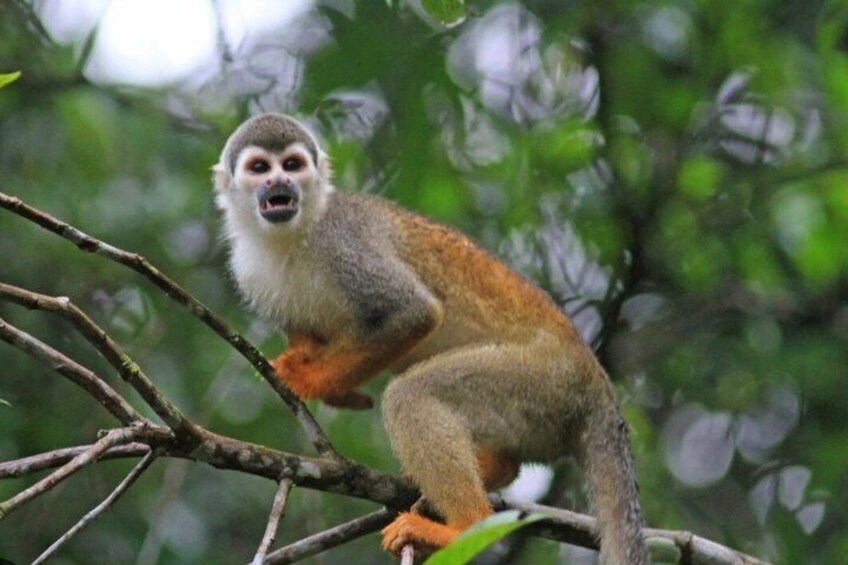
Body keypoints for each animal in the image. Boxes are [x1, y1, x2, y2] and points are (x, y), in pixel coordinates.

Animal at [213, 113, 650, 564]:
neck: (291, 235)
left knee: (413, 393)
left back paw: (462, 525)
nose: (279, 182)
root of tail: (600, 389)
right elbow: (313, 335)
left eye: (292, 165)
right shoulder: (249, 271)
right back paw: (493, 472)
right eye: (260, 168)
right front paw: (328, 381)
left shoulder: (343, 240)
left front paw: (311, 380)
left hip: (545, 382)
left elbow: (413, 313)